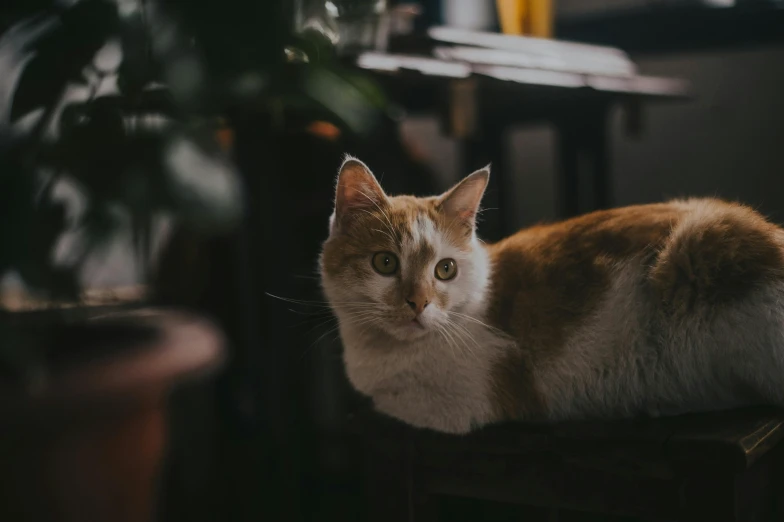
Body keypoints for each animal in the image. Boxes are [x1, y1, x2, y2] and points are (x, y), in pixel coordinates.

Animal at [318, 156, 784, 432]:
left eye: (445, 269)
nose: (418, 303)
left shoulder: (469, 401)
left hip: (702, 250)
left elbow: (382, 403)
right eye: (385, 263)